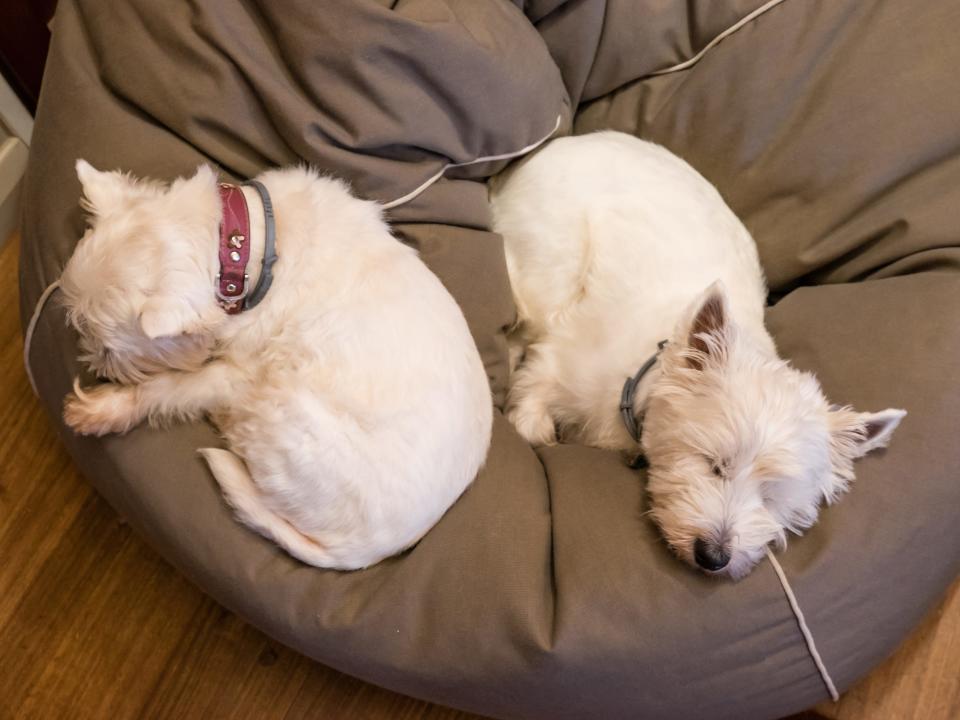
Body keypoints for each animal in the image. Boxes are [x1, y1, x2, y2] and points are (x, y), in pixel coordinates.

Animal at [62, 160, 496, 572]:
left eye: (109, 350)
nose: (100, 371)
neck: (244, 248)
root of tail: (366, 553)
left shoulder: (237, 373)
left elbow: (167, 389)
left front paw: (102, 408)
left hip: (283, 405)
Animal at [492, 131, 904, 580]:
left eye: (771, 496)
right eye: (715, 464)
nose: (713, 557)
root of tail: (567, 141)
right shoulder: (564, 357)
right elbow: (533, 403)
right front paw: (536, 426)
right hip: (549, 262)